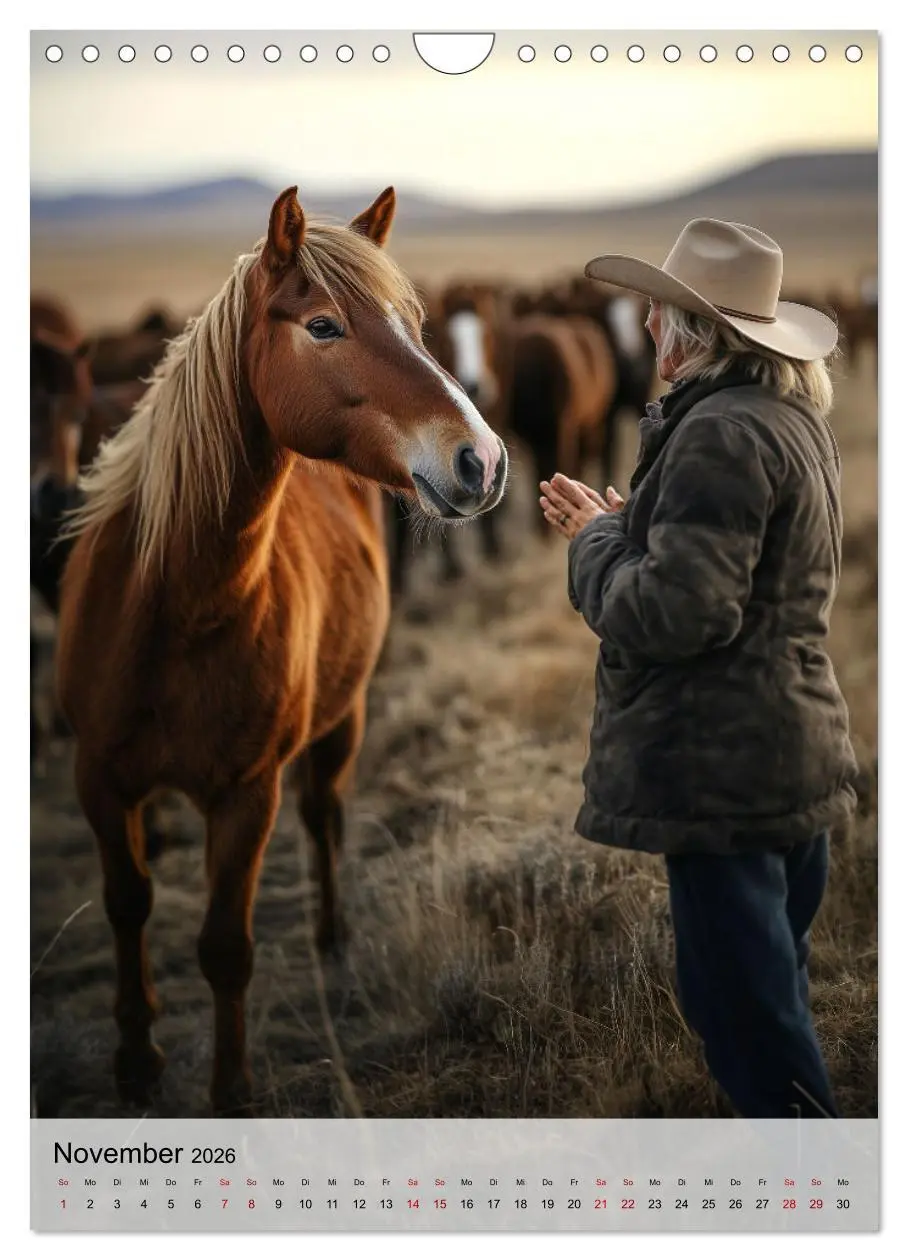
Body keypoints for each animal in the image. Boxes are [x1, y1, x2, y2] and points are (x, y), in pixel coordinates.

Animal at [55, 185, 508, 1117]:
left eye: (417, 322)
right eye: (323, 326)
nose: (482, 459)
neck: (178, 607)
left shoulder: (246, 794)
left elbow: (226, 946)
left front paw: (231, 1090)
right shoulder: (99, 777)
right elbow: (127, 903)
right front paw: (136, 1057)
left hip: (342, 721)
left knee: (324, 813)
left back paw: (333, 940)